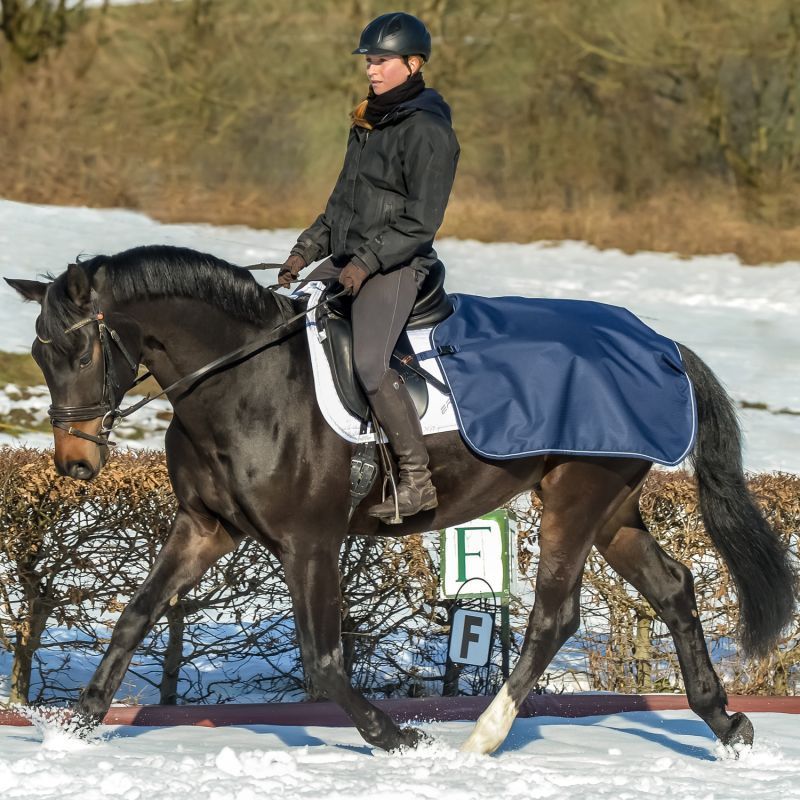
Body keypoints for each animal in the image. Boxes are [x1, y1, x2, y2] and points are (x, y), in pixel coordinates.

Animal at [4, 245, 792, 756]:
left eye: (80, 353)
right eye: (40, 356)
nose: (75, 464)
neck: (243, 382)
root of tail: (658, 343)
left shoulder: (309, 542)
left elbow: (323, 658)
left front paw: (394, 734)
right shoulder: (205, 527)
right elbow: (135, 616)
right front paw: (78, 723)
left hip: (578, 493)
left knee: (553, 618)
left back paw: (481, 739)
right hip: (611, 505)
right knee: (674, 586)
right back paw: (726, 723)